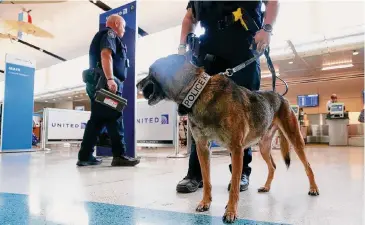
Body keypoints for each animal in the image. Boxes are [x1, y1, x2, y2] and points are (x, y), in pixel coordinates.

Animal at [135, 54, 318, 223]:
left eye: (151, 72)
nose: (137, 84)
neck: (199, 93)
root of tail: (280, 96)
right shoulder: (202, 148)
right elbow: (207, 180)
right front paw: (205, 202)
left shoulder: (236, 150)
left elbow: (234, 185)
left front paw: (230, 212)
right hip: (264, 146)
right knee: (272, 166)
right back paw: (266, 187)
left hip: (295, 140)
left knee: (308, 166)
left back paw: (314, 189)